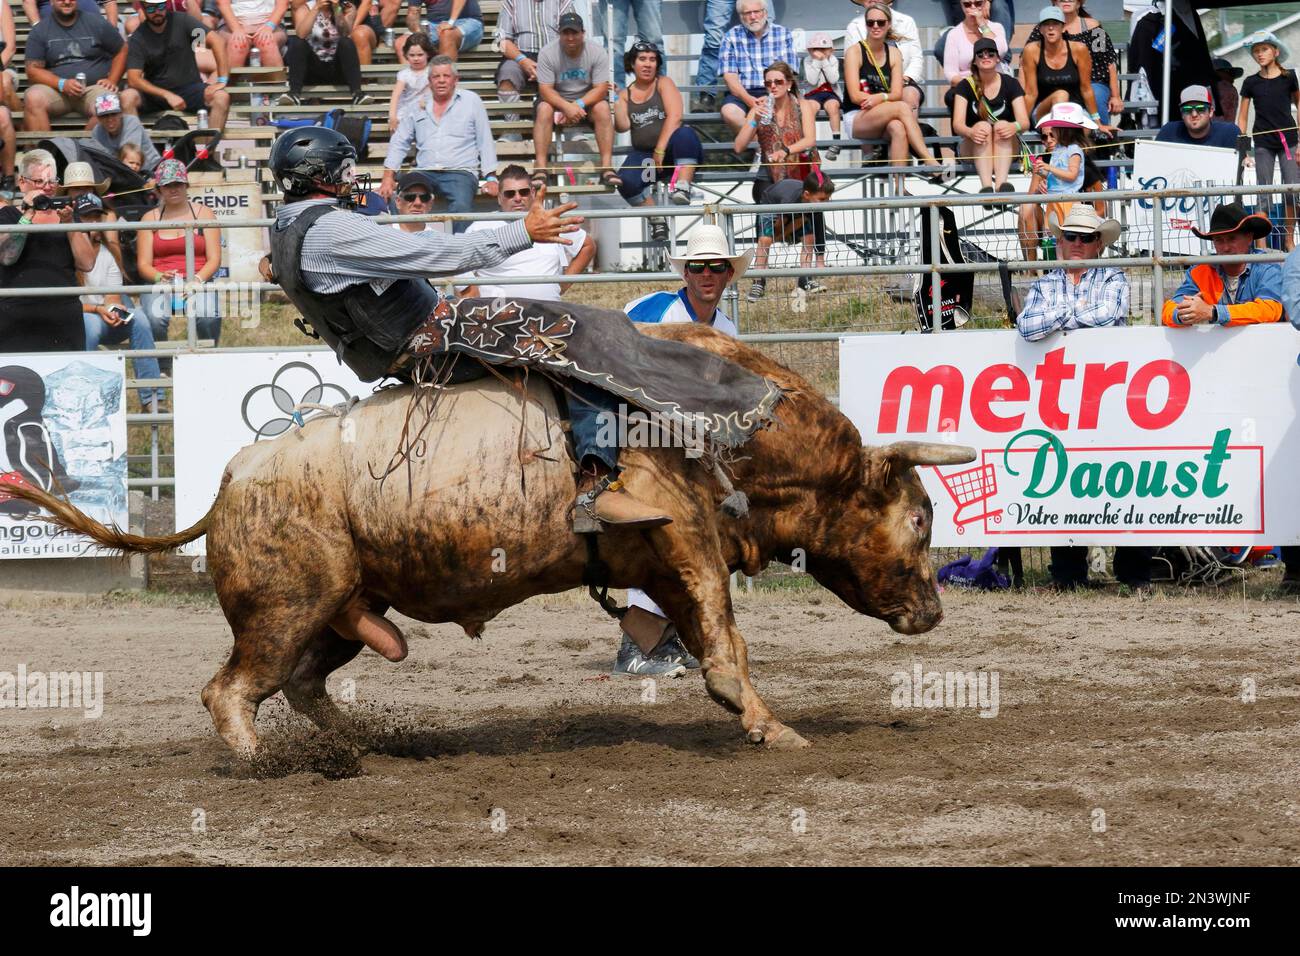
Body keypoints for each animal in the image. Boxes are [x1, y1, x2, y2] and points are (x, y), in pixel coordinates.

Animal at [6, 324, 974, 754]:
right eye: (921, 517)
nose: (933, 611)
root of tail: (235, 477)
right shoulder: (688, 541)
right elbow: (726, 643)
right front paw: (772, 727)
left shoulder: (664, 562)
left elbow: (699, 636)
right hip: (286, 604)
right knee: (234, 688)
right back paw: (262, 764)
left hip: (344, 609)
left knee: (303, 684)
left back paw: (356, 747)